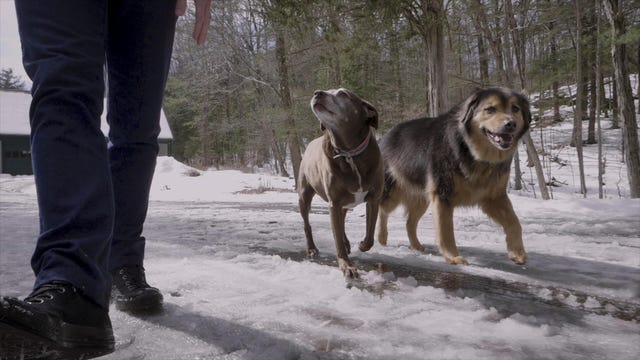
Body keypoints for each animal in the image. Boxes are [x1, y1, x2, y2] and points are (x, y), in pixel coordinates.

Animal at [298, 88, 382, 278]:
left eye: (343, 94)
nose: (317, 93)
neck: (349, 152)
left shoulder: (374, 198)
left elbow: (371, 232)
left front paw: (362, 245)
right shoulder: (334, 203)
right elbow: (336, 237)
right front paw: (347, 266)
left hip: (343, 204)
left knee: (342, 222)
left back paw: (347, 242)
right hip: (304, 195)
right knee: (307, 224)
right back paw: (312, 248)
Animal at [378, 88, 532, 264]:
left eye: (515, 109)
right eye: (490, 109)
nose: (510, 124)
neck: (472, 151)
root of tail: (385, 136)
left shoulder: (494, 198)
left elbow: (515, 222)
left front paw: (517, 252)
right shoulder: (442, 195)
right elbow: (446, 231)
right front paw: (452, 256)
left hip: (421, 199)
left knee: (409, 222)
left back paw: (416, 246)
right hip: (392, 193)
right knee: (382, 210)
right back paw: (381, 238)